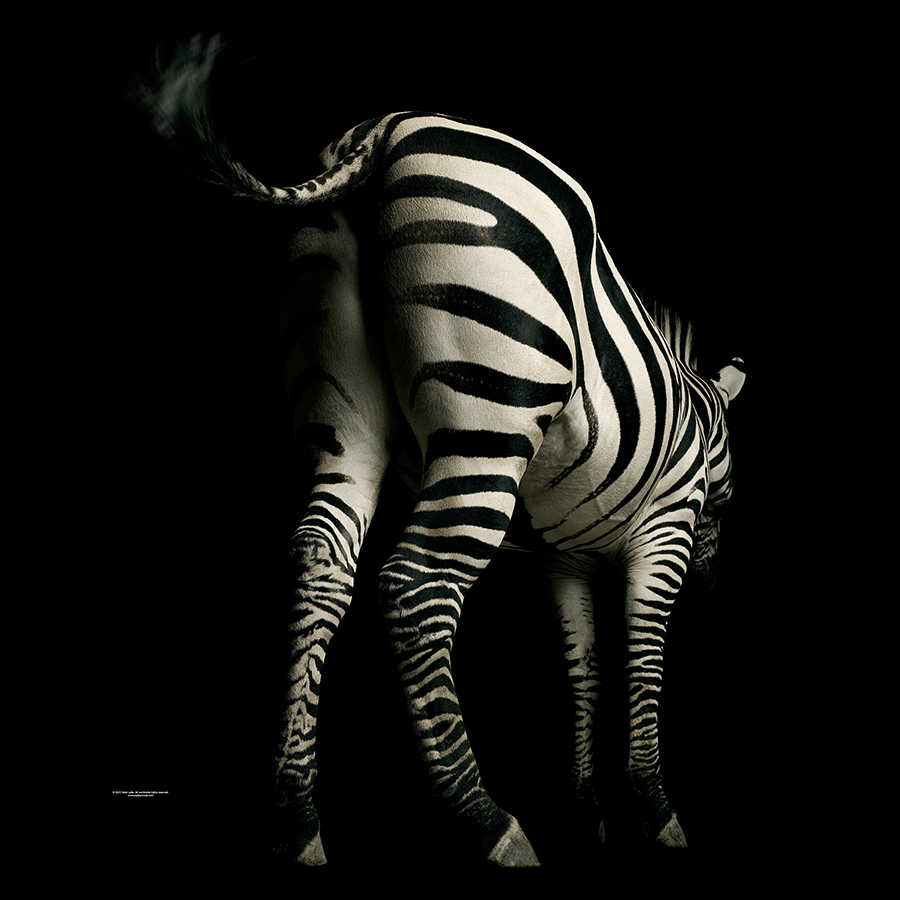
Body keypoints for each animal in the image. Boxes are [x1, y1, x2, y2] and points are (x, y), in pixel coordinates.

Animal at [141, 37, 746, 866]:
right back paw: (493, 825)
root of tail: (382, 132)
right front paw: (657, 814)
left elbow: (584, 668)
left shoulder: (565, 558)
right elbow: (640, 661)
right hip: (492, 417)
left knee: (321, 557)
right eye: (727, 494)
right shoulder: (664, 531)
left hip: (341, 408)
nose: (717, 588)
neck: (696, 415)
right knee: (415, 583)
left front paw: (589, 812)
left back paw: (299, 823)